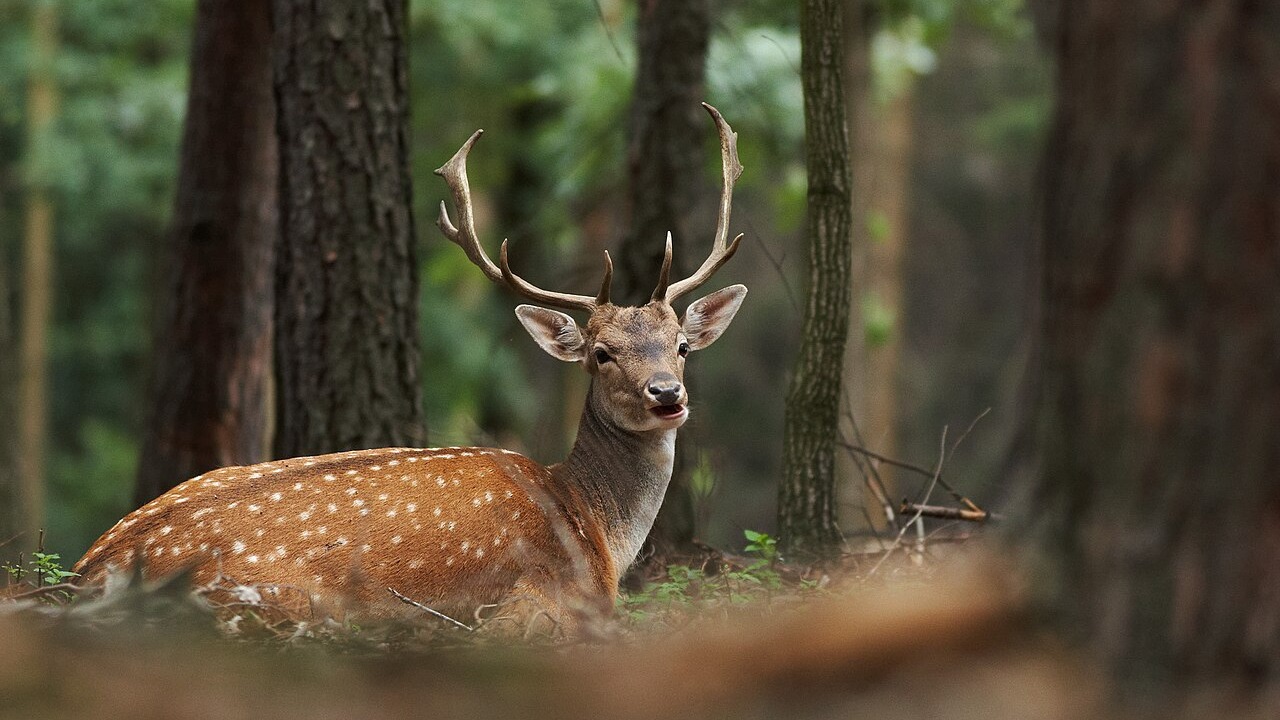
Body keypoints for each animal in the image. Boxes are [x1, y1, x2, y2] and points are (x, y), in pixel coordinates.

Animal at [73, 103, 747, 635]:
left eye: (681, 345)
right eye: (602, 354)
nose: (667, 394)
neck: (597, 533)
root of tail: (89, 572)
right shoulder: (543, 602)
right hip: (282, 601)